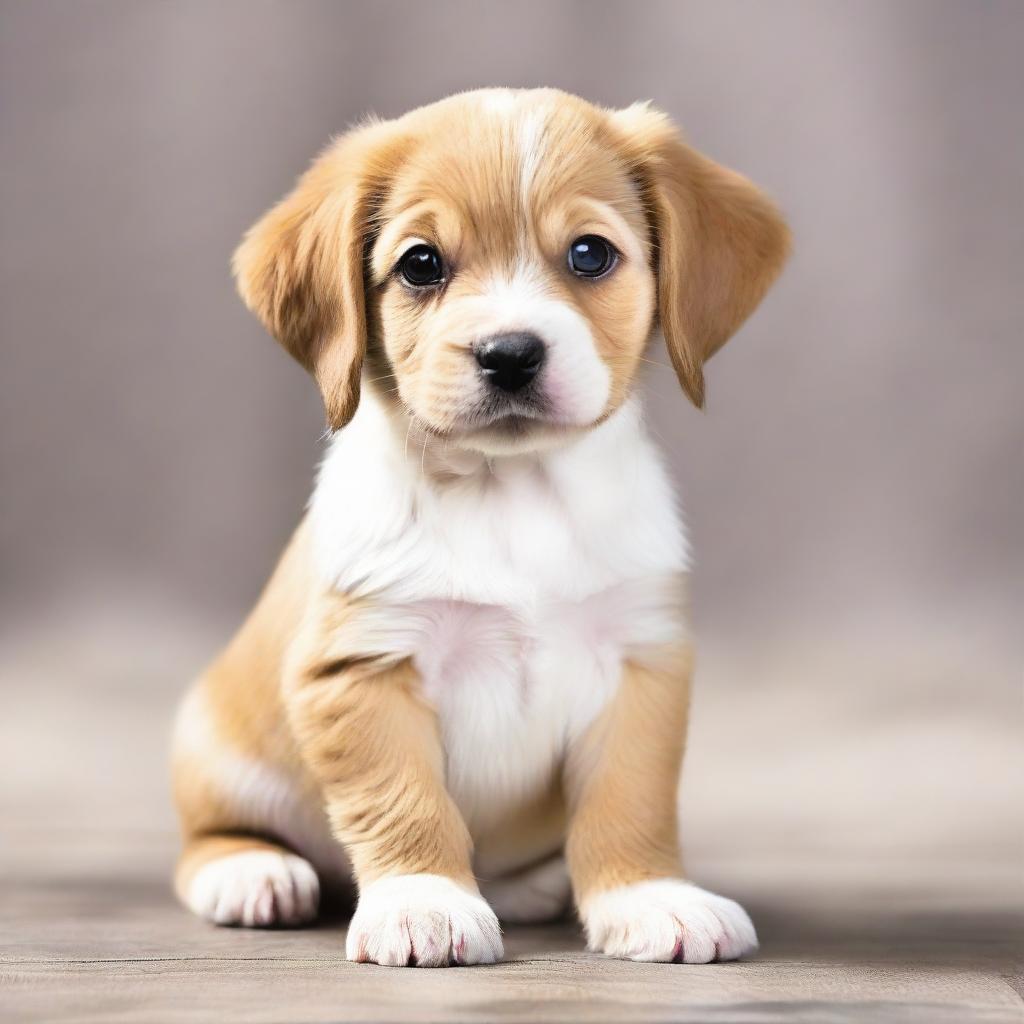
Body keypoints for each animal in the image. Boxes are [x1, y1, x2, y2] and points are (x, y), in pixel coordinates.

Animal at [172, 88, 786, 966]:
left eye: (590, 254)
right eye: (421, 264)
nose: (509, 353)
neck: (511, 493)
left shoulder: (640, 661)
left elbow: (631, 802)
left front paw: (648, 896)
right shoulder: (363, 669)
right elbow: (405, 802)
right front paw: (421, 902)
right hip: (212, 749)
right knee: (207, 839)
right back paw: (253, 871)